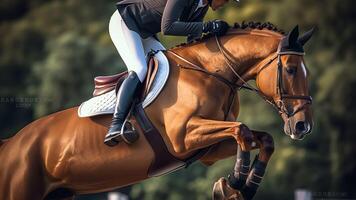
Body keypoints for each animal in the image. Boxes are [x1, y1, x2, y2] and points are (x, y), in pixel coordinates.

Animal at [0, 22, 314, 199]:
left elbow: (261, 139)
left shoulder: (207, 150)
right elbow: (243, 131)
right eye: (290, 69)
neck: (210, 71)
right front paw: (235, 181)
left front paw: (242, 186)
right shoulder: (184, 137)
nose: (303, 126)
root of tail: (11, 144)